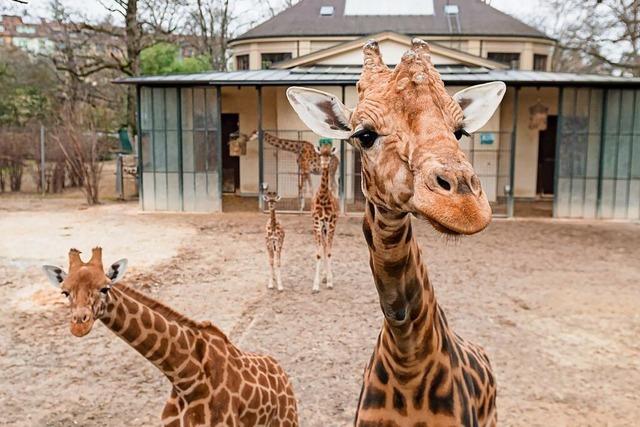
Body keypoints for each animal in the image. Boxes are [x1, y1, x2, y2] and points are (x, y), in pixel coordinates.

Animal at [43, 247, 298, 427]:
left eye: (105, 288)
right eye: (65, 292)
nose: (79, 325)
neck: (186, 379)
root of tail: (281, 371)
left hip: (288, 420)